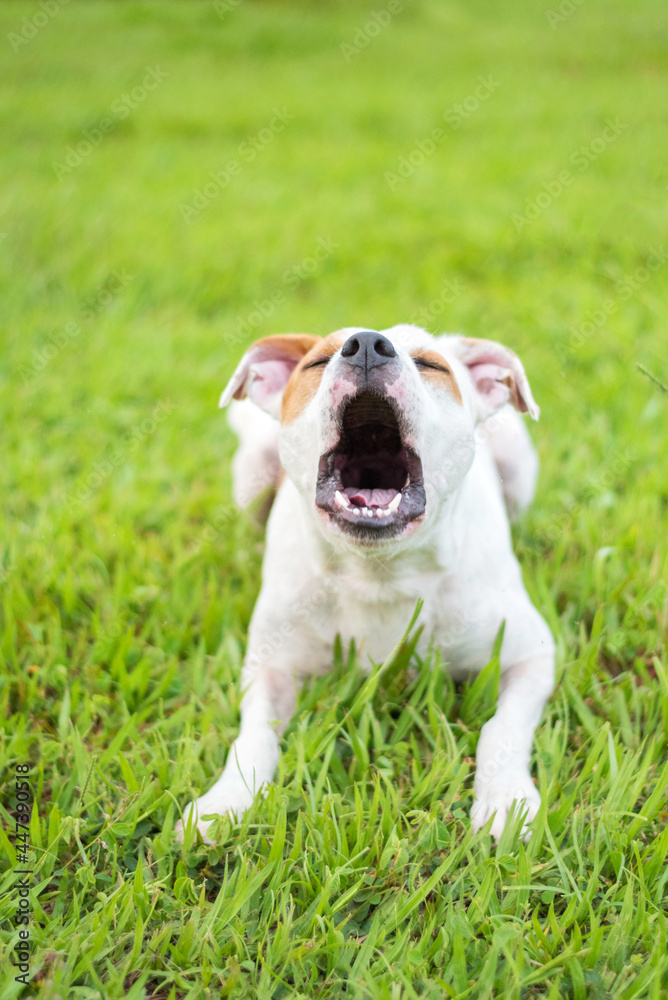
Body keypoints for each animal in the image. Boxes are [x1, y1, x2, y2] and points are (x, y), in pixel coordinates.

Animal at [176, 324, 552, 840]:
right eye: (317, 363)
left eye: (432, 365)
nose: (369, 346)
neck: (381, 572)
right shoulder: (270, 668)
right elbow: (252, 740)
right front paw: (225, 801)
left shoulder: (533, 655)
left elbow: (504, 728)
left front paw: (506, 800)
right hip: (250, 475)